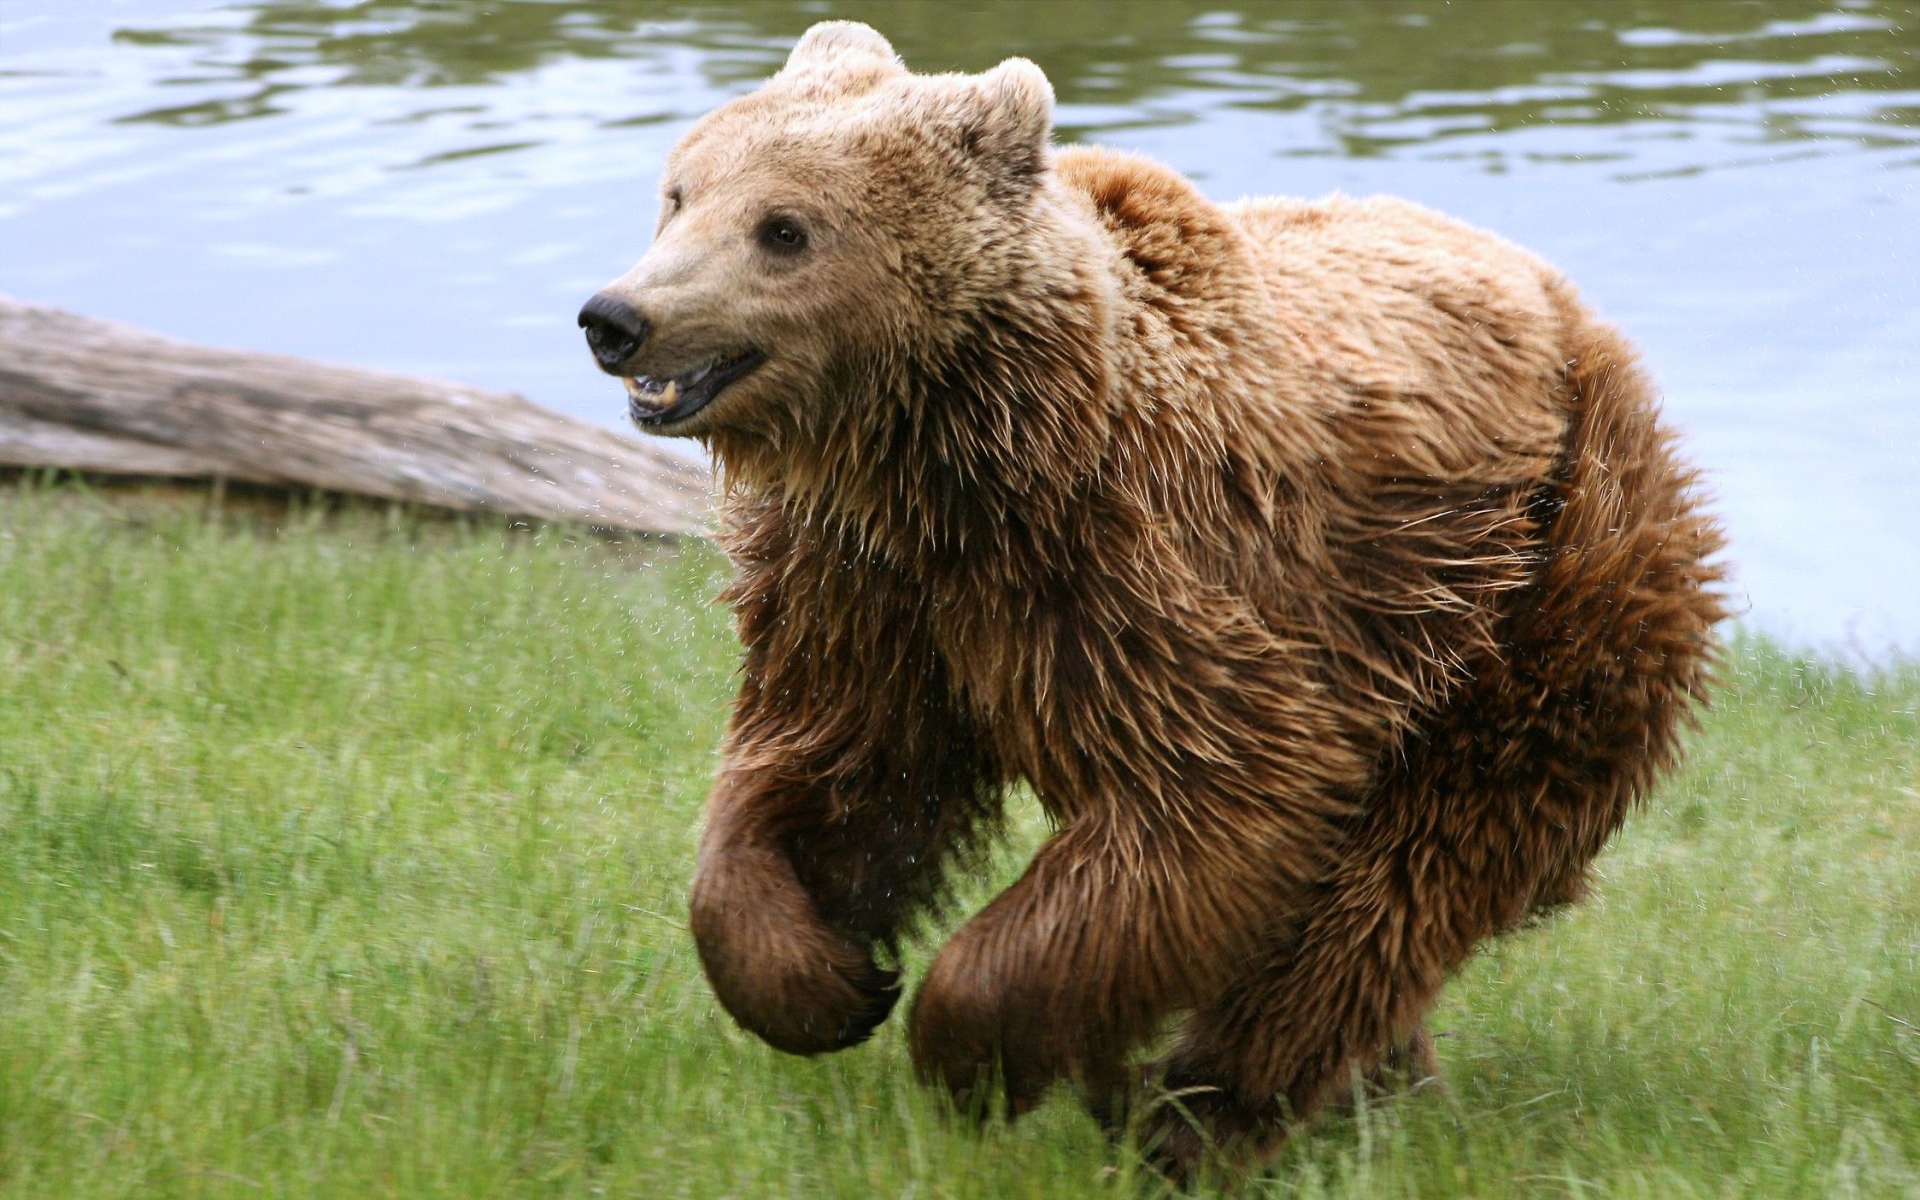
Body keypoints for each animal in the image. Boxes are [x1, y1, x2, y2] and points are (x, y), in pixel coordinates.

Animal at [577, 21, 1726, 1182]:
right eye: (680, 193)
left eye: (784, 228)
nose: (617, 317)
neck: (950, 456)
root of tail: (1574, 311)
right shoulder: (864, 589)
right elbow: (834, 769)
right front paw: (827, 979)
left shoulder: (1144, 570)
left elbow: (1216, 800)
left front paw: (966, 1051)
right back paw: (1368, 1091)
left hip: (1533, 584)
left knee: (1405, 877)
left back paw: (1198, 1113)